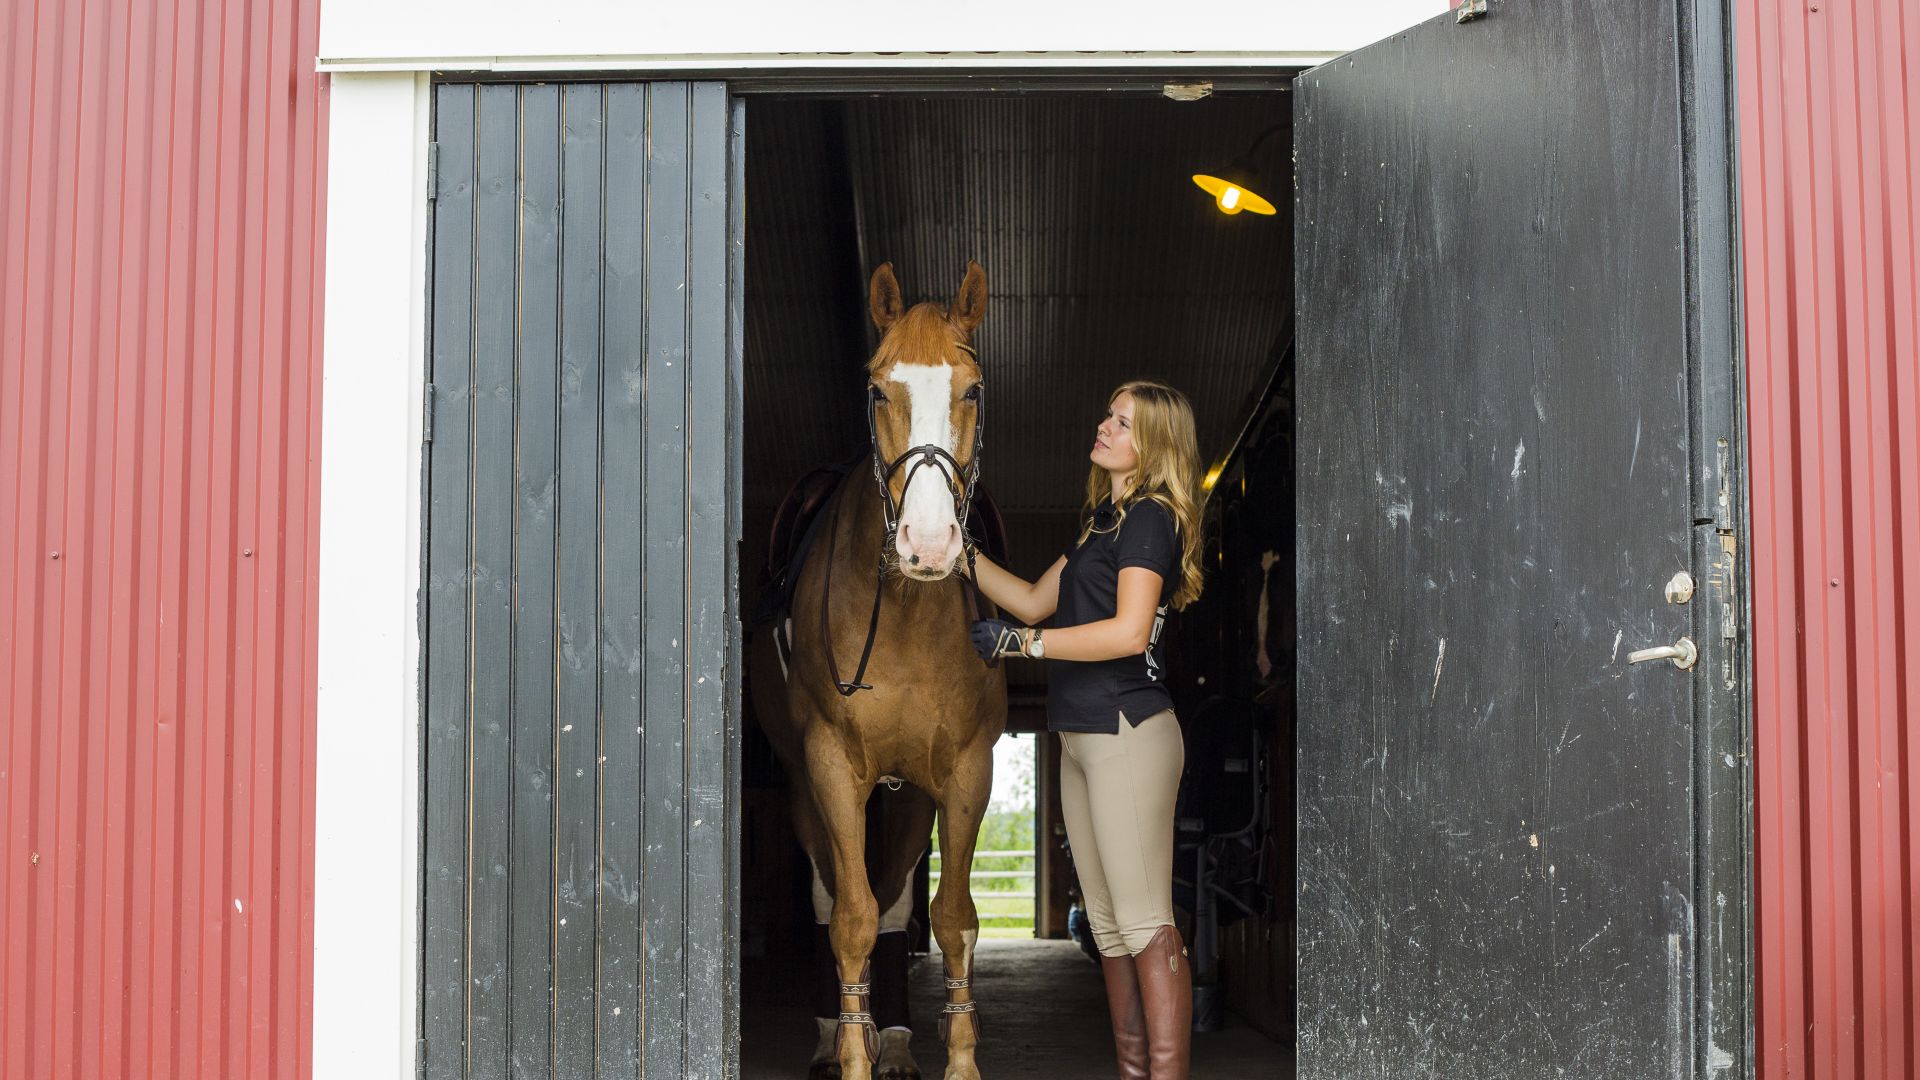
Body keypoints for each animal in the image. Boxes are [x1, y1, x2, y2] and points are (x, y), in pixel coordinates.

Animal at [752, 261, 1013, 1076]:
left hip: (908, 795)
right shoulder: (831, 766)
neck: (905, 613)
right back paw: (836, 1034)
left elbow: (952, 918)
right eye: (875, 390)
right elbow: (850, 919)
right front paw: (849, 1051)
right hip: (808, 786)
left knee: (897, 901)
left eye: (973, 390)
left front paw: (957, 1060)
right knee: (832, 899)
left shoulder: (964, 771)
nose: (928, 546)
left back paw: (889, 1036)